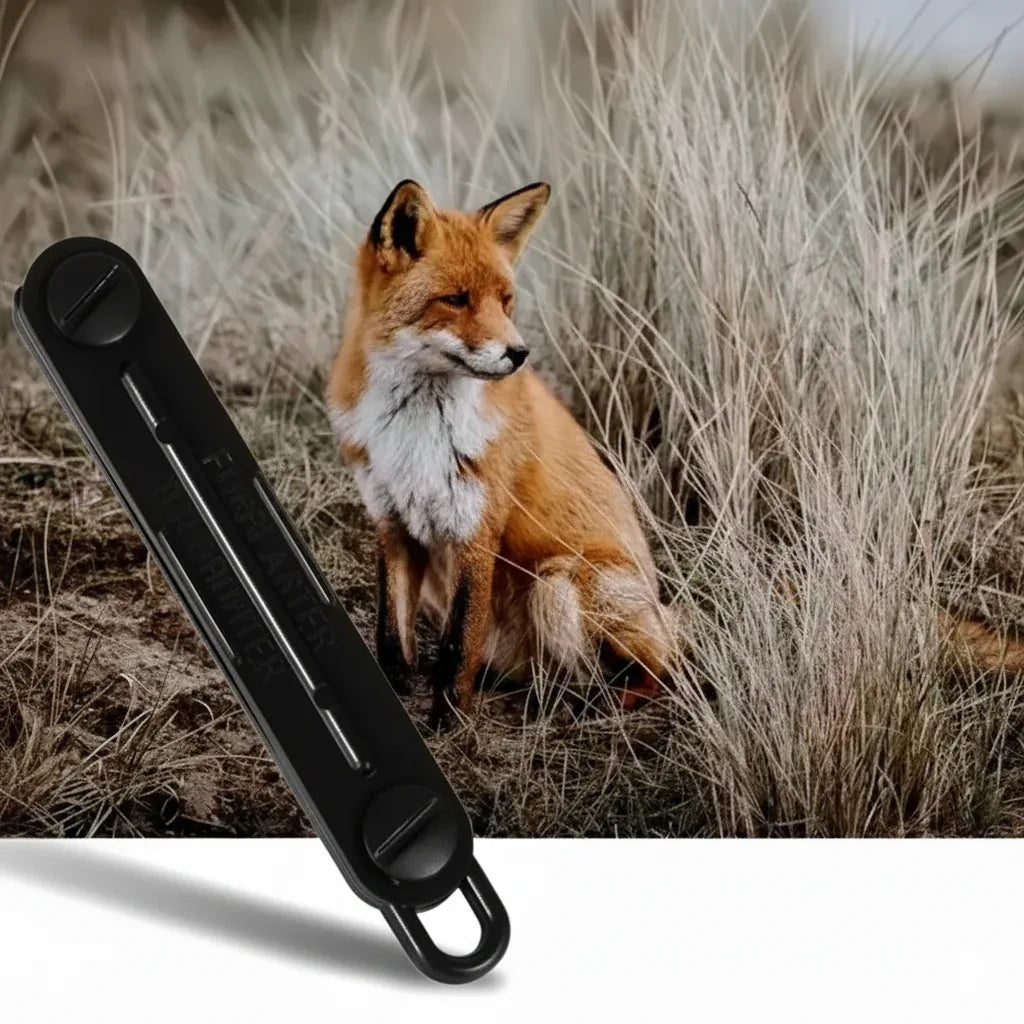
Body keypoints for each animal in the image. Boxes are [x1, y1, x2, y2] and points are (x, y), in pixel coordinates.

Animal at [327, 179, 676, 727]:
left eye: (505, 301)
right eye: (455, 299)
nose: (519, 354)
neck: (415, 432)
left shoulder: (476, 527)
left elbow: (457, 647)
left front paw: (449, 723)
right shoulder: (392, 522)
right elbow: (391, 636)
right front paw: (400, 692)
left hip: (560, 583)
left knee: (658, 667)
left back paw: (599, 705)